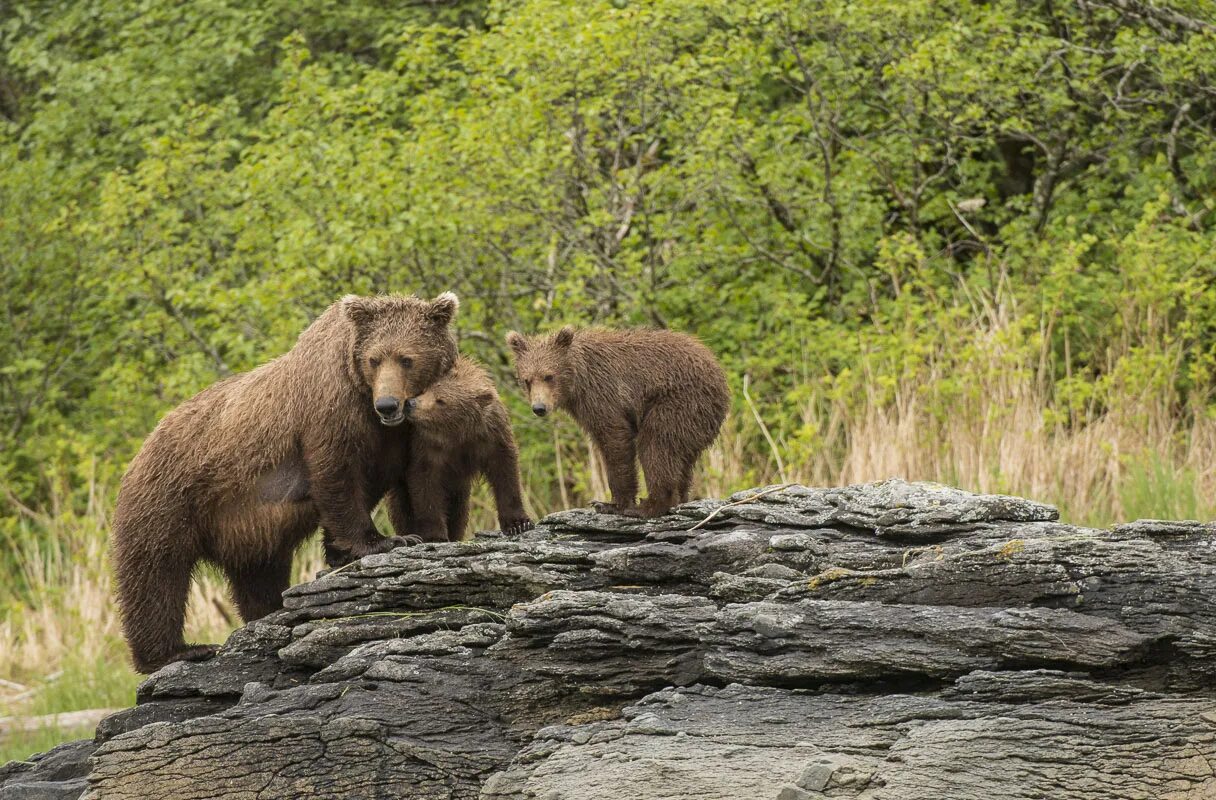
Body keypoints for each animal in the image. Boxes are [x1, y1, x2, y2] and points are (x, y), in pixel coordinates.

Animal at [111, 289, 459, 671]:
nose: (387, 404)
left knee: (258, 574)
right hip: (169, 497)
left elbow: (397, 481)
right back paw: (178, 651)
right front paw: (383, 540)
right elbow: (338, 477)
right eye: (374, 359)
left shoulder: (400, 434)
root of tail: (142, 447)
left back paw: (266, 611)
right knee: (156, 574)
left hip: (244, 527)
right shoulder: (329, 412)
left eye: (407, 359)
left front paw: (372, 543)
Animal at [391, 357, 535, 539]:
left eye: (441, 400)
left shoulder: (492, 437)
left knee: (459, 512)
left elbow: (505, 473)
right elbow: (424, 485)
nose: (411, 403)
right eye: (425, 390)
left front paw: (518, 524)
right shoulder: (427, 447)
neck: (458, 433)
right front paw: (434, 534)